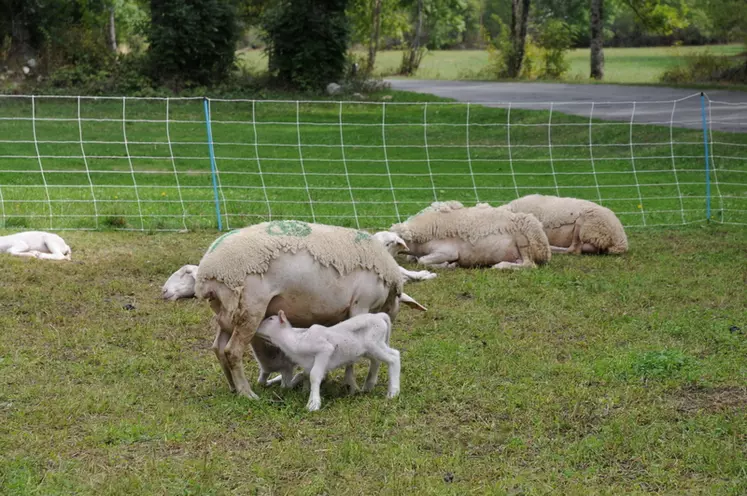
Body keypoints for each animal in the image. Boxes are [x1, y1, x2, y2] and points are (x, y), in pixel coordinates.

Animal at [193, 221, 426, 400]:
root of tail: (208, 271)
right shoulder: (360, 305)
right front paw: (352, 386)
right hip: (250, 308)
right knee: (232, 351)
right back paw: (246, 393)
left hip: (226, 313)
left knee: (218, 348)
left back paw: (233, 387)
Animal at [254, 310, 400, 410]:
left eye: (270, 318)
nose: (256, 327)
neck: (296, 340)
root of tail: (379, 316)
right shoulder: (308, 364)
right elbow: (303, 375)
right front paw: (302, 389)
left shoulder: (324, 350)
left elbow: (314, 376)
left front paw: (313, 403)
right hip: (370, 348)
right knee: (377, 361)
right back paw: (368, 386)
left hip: (374, 343)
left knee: (394, 357)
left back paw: (393, 392)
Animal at [388, 200, 552, 270]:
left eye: (391, 242)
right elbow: (416, 260)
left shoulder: (448, 251)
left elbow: (422, 261)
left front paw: (448, 265)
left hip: (526, 240)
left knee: (529, 265)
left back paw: (500, 265)